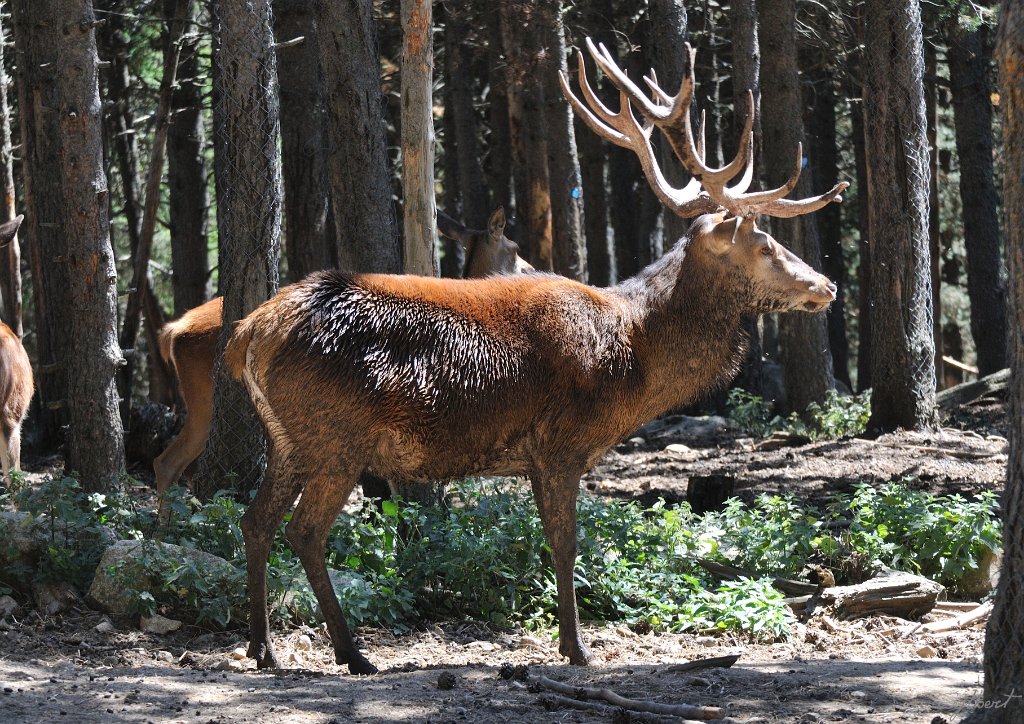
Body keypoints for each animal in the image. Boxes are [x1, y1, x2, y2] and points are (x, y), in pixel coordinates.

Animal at [153, 212, 534, 521]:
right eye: (514, 247)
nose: (532, 269)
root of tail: (173, 331)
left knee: (172, 463)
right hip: (205, 399)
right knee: (170, 462)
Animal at [225, 39, 848, 675]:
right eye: (765, 244)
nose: (826, 285)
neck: (634, 361)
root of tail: (251, 331)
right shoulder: (561, 443)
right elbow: (566, 544)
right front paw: (576, 648)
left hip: (289, 438)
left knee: (254, 520)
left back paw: (262, 646)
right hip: (335, 435)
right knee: (304, 531)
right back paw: (352, 653)